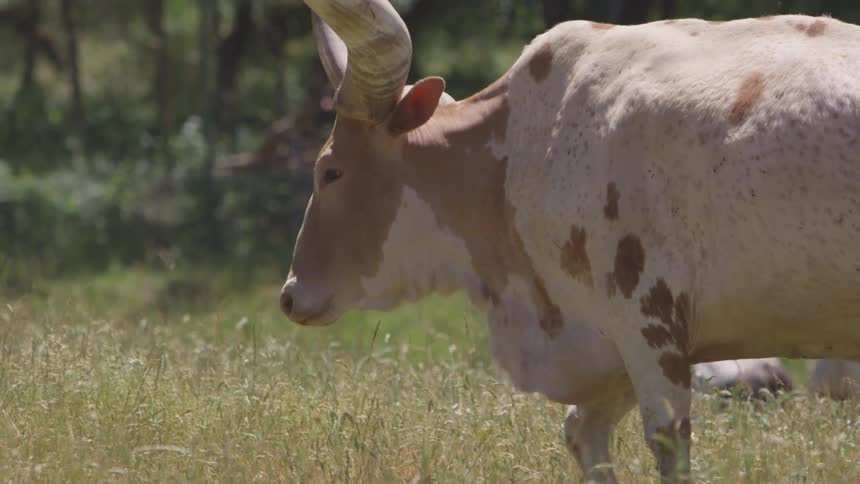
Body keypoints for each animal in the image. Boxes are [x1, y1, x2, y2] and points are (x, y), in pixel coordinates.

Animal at [277, 1, 860, 481]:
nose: (290, 293)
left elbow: (667, 444)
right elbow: (583, 435)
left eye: (330, 171)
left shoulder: (650, 323)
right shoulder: (606, 343)